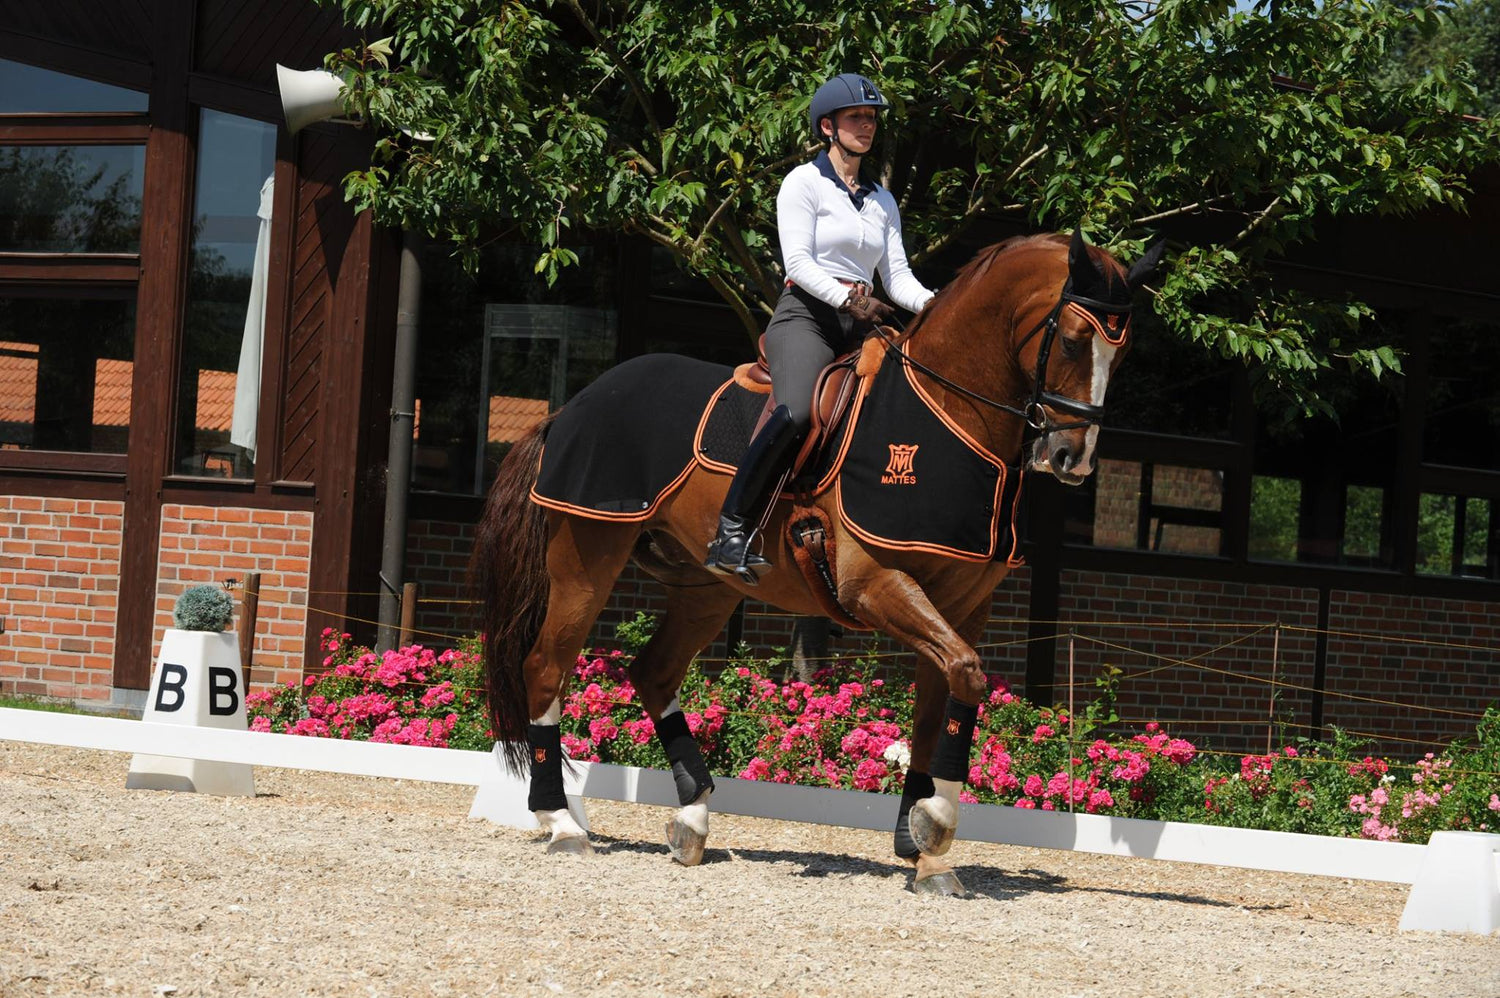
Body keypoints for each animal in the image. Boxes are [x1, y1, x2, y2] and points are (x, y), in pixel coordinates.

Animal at [468, 228, 1158, 894]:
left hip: (706, 587)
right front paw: (935, 825)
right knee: (546, 668)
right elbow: (966, 675)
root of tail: (575, 405)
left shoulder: (965, 606)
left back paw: (693, 818)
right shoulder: (874, 584)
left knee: (655, 673)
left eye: (1123, 353)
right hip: (588, 554)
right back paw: (561, 822)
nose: (1072, 458)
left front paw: (925, 853)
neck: (945, 419)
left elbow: (940, 707)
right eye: (1072, 340)